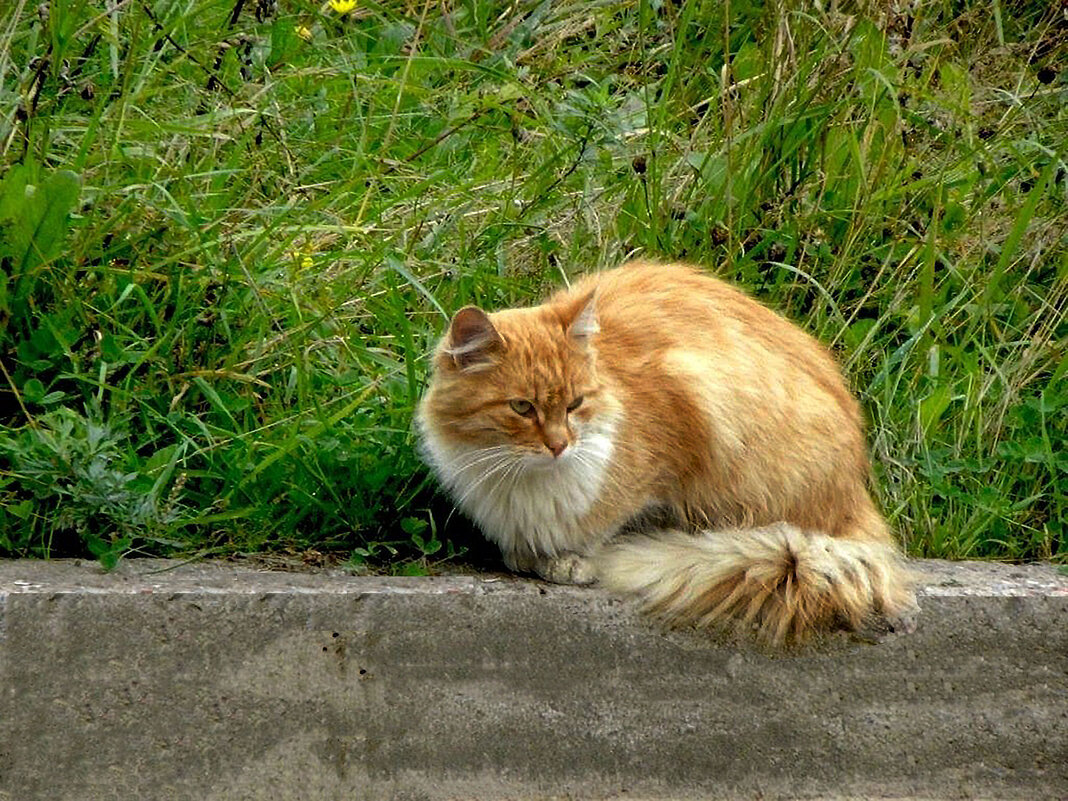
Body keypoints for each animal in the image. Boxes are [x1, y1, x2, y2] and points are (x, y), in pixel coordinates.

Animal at [416, 263, 918, 645]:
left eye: (575, 404)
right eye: (522, 408)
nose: (560, 446)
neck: (522, 478)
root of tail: (857, 493)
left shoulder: (680, 412)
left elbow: (605, 524)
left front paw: (572, 560)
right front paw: (530, 555)